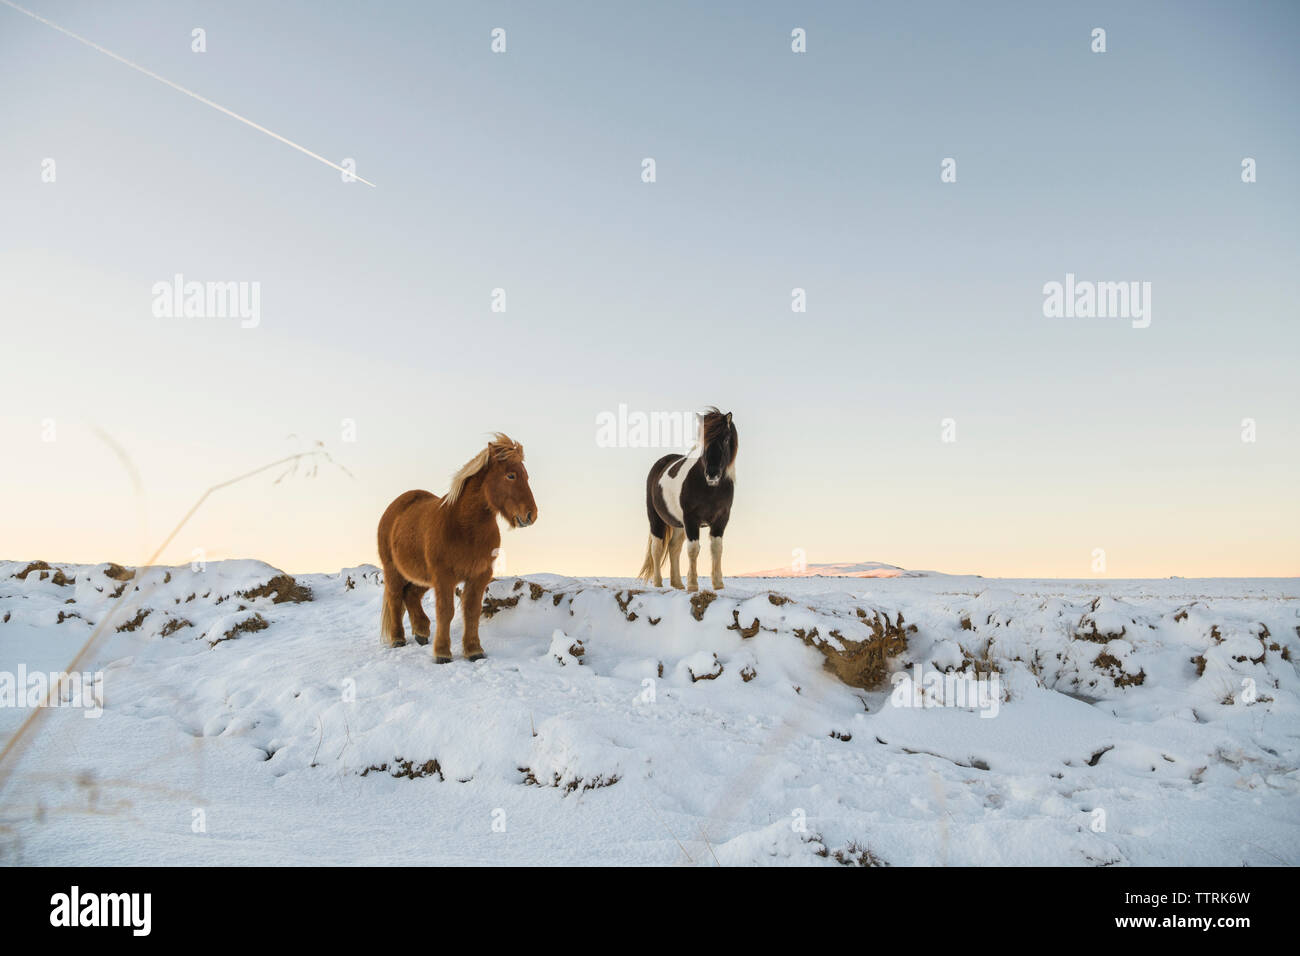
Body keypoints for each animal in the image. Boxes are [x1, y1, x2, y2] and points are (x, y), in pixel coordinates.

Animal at [377, 437, 538, 660]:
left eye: (526, 476)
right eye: (511, 475)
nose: (531, 514)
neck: (465, 528)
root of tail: (395, 507)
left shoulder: (479, 576)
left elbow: (471, 611)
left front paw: (474, 650)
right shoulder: (444, 576)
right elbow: (446, 612)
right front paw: (442, 653)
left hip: (422, 576)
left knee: (411, 595)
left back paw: (421, 632)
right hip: (393, 571)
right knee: (395, 599)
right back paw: (398, 639)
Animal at [637, 408, 738, 590]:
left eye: (726, 439)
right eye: (703, 441)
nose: (712, 473)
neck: (710, 488)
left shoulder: (721, 519)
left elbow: (717, 548)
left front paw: (718, 584)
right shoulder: (691, 519)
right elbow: (693, 549)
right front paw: (692, 585)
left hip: (679, 524)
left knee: (673, 547)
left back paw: (677, 583)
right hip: (656, 519)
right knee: (657, 548)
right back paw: (658, 583)